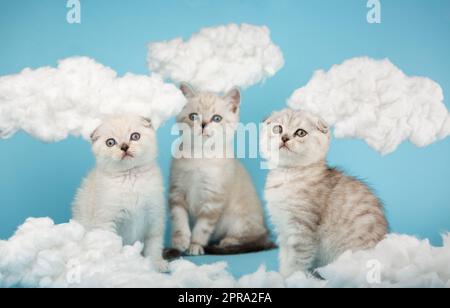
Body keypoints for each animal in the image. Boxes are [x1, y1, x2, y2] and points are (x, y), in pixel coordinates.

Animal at [72, 115, 169, 272]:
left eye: (135, 136)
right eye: (110, 143)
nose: (124, 146)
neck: (131, 178)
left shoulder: (154, 217)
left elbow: (154, 245)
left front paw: (156, 263)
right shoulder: (107, 220)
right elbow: (112, 245)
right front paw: (118, 265)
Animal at [170, 83, 272, 256]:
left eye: (216, 119)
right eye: (193, 116)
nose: (203, 124)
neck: (200, 157)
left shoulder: (214, 199)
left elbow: (202, 228)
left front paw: (195, 245)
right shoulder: (177, 191)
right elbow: (179, 218)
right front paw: (180, 240)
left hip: (239, 220)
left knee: (255, 237)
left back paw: (228, 241)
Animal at [262, 109, 388, 278]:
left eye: (300, 133)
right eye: (278, 129)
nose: (284, 137)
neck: (287, 175)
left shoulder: (302, 229)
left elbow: (296, 261)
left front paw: (292, 278)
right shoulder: (282, 229)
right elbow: (284, 257)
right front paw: (281, 275)